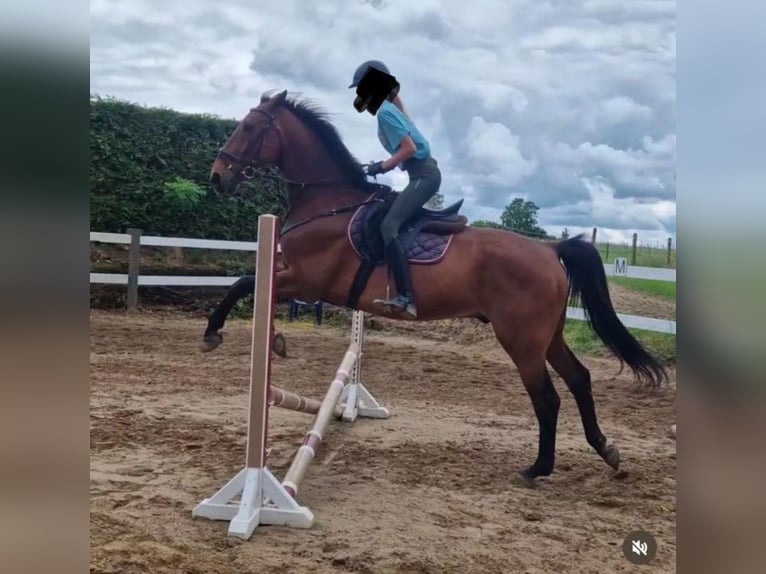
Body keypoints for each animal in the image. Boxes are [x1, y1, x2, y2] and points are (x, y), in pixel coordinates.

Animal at [202, 89, 664, 486]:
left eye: (249, 126)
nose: (217, 177)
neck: (329, 203)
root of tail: (550, 249)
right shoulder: (298, 278)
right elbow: (254, 288)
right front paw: (274, 341)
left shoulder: (307, 279)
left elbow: (245, 283)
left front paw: (213, 333)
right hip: (547, 336)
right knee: (580, 379)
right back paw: (606, 450)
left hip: (521, 339)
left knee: (547, 397)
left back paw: (538, 468)